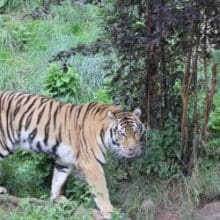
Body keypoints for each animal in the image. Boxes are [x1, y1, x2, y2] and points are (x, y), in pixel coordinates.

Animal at [0, 91, 144, 218]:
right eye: (122, 133)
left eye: (136, 131)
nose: (132, 149)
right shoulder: (92, 164)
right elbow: (101, 190)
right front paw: (109, 211)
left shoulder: (64, 160)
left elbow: (57, 179)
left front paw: (56, 198)